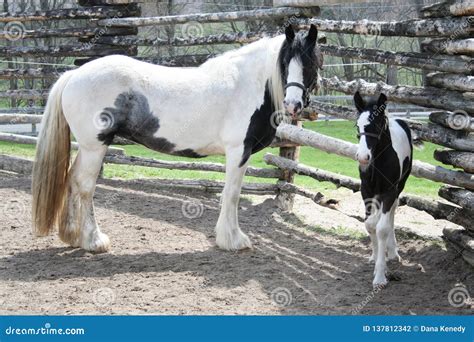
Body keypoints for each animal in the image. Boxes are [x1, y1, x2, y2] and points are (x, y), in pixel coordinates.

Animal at [32, 25, 322, 252]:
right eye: (285, 63)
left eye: (310, 63)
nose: (293, 105)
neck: (248, 85)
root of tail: (74, 75)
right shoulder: (238, 151)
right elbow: (232, 194)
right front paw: (232, 240)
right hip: (95, 147)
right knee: (85, 186)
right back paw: (94, 240)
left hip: (88, 147)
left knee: (71, 180)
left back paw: (73, 237)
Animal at [354, 92, 412, 288]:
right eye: (357, 125)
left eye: (377, 124)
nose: (363, 157)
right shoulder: (366, 191)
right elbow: (370, 225)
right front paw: (376, 259)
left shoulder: (389, 191)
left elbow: (382, 228)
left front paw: (380, 276)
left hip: (399, 186)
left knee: (392, 211)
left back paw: (393, 253)